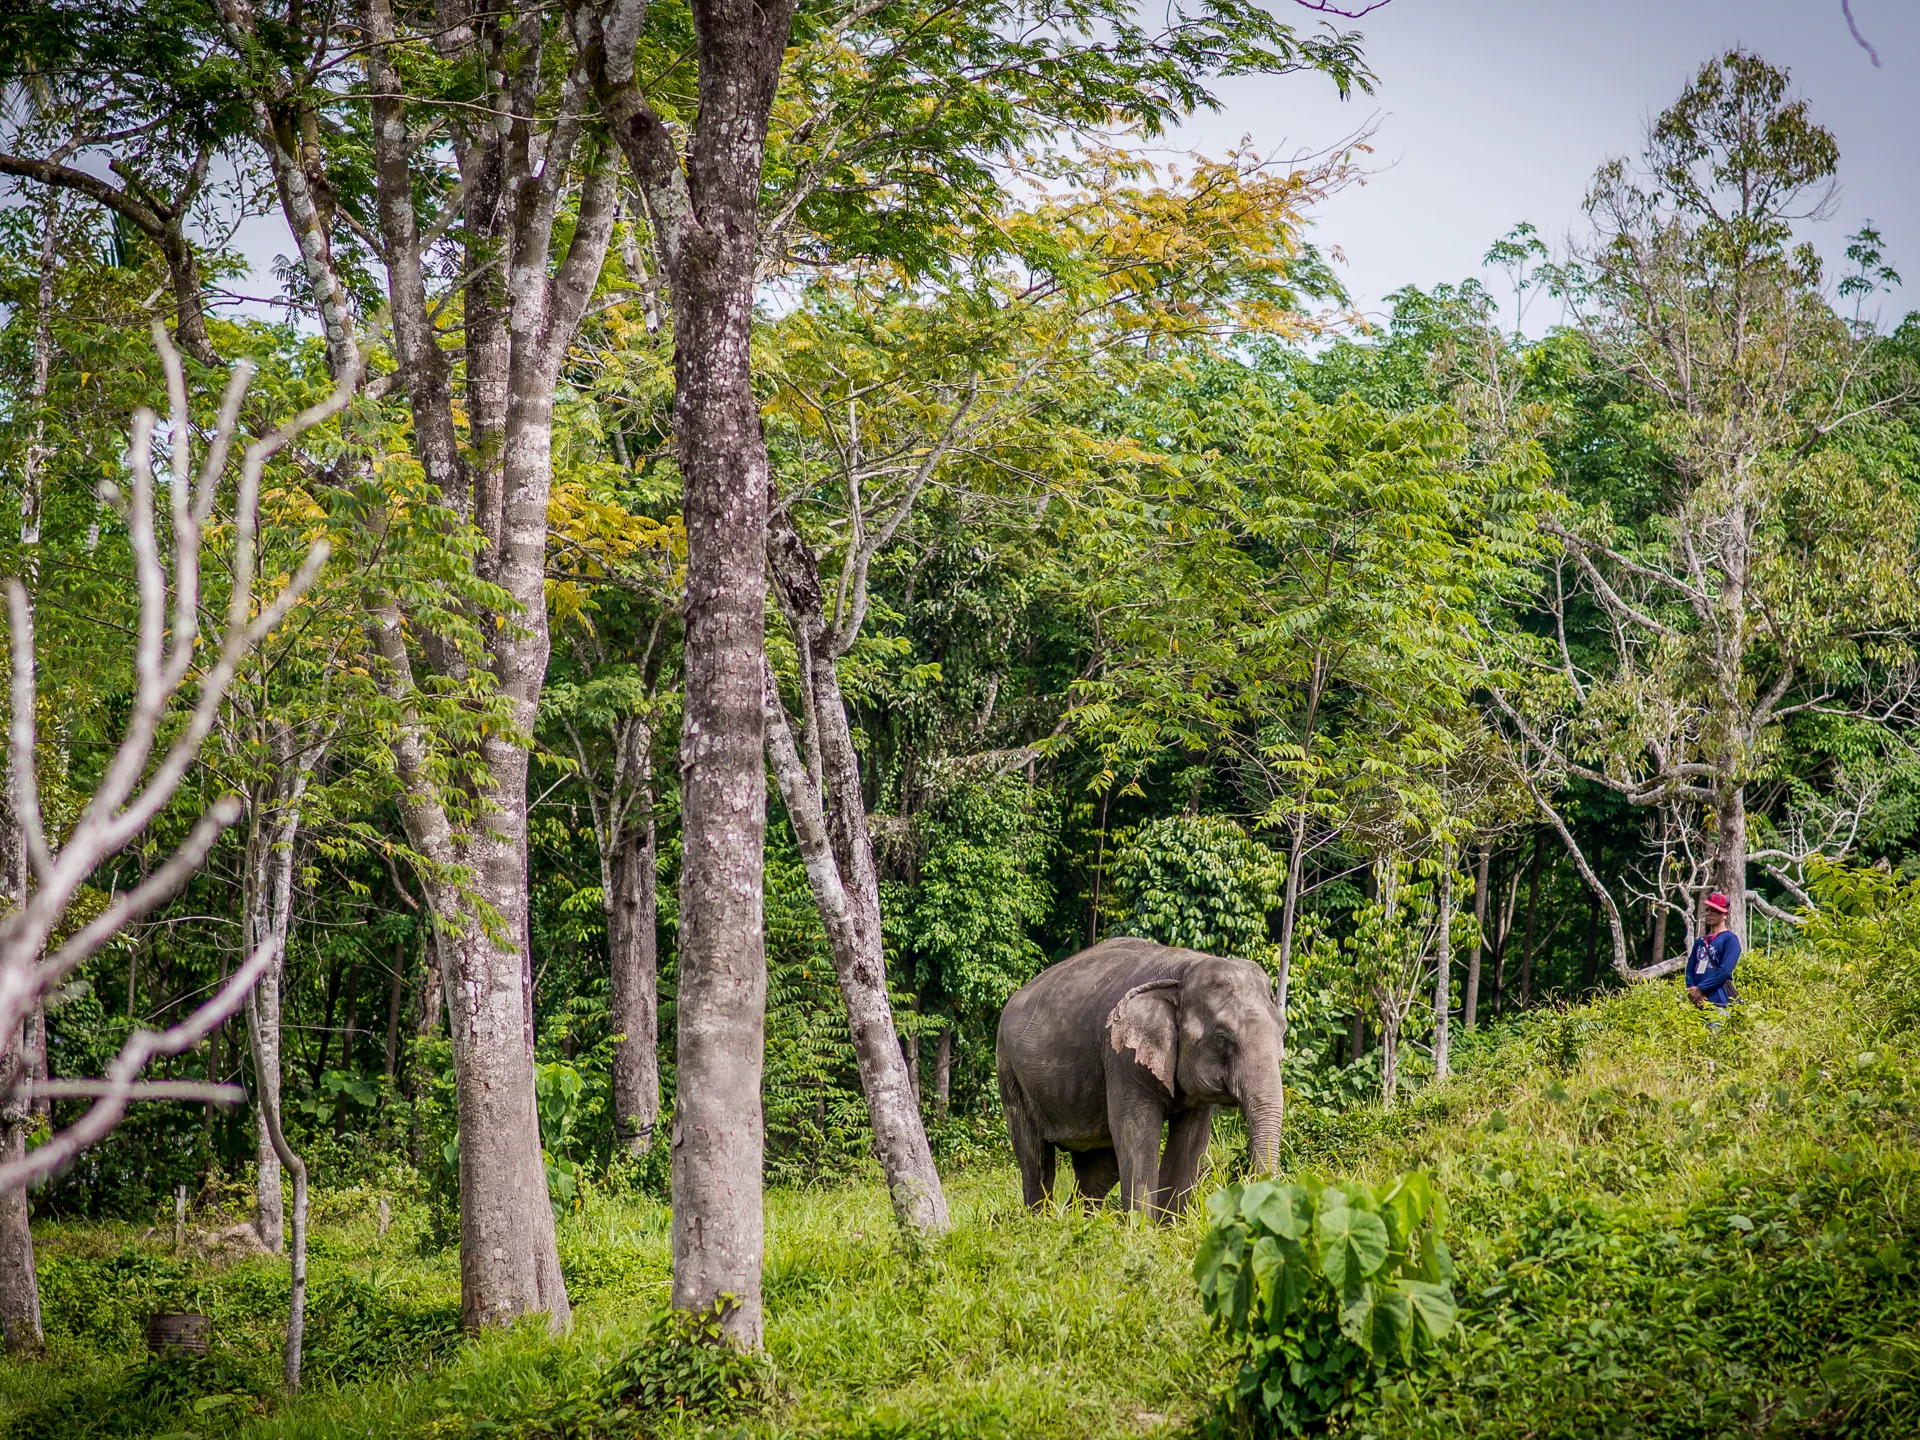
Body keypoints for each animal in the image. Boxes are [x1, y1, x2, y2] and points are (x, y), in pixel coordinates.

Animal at [995, 936, 1284, 1218]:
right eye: (1222, 1037)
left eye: (1282, 1030)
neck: (1184, 971)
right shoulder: (1120, 1055)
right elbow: (1136, 1133)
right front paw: (1142, 1228)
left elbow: (1190, 1142)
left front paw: (1169, 1228)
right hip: (1009, 1070)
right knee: (1035, 1157)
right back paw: (1040, 1221)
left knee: (1099, 1167)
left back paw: (1075, 1222)